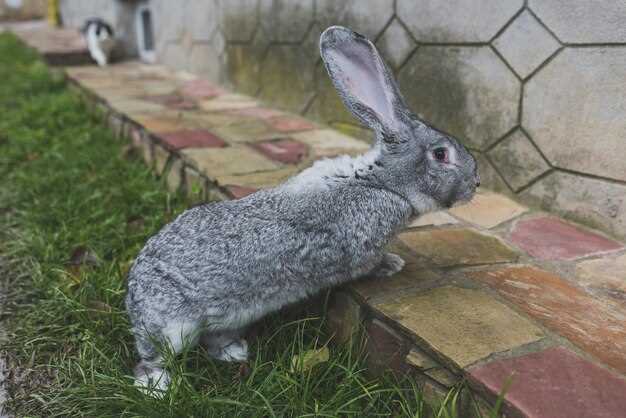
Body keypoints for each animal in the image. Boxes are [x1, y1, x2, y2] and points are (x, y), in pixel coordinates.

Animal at [125, 27, 478, 396]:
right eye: (441, 155)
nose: (475, 182)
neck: (381, 183)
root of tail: (134, 299)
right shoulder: (361, 246)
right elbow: (366, 264)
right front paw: (393, 264)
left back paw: (236, 352)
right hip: (173, 329)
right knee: (152, 358)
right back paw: (156, 387)